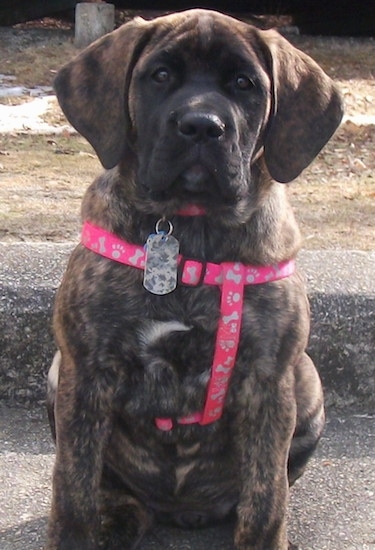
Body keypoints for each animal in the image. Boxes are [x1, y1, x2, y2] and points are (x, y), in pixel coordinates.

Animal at [46, 8, 344, 550]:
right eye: (160, 75)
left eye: (245, 84)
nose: (201, 126)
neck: (190, 228)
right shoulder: (86, 374)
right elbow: (73, 490)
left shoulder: (269, 381)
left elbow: (266, 500)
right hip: (58, 372)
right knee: (110, 489)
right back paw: (120, 517)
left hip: (308, 385)